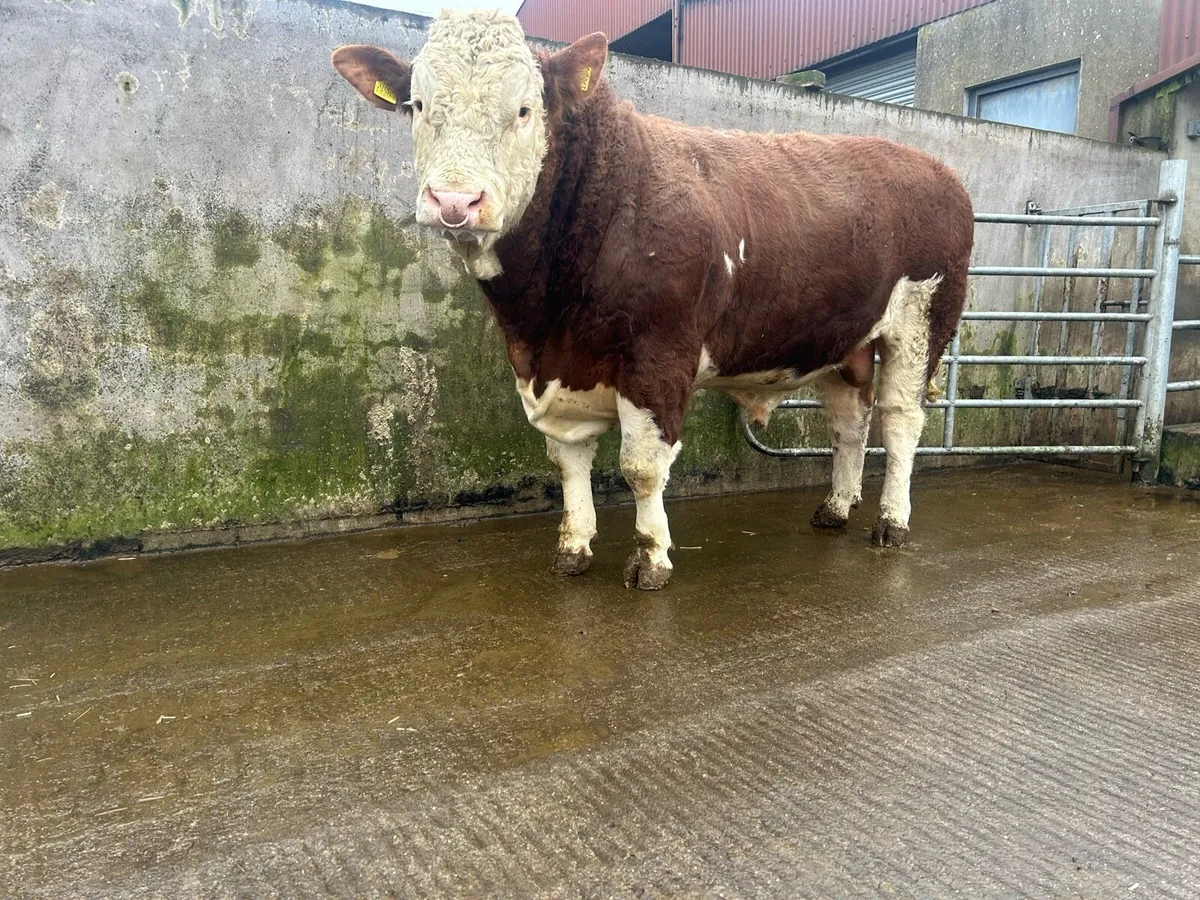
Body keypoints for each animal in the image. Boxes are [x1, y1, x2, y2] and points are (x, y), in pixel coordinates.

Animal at [331, 10, 974, 590]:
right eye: (418, 105)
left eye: (523, 109)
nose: (454, 201)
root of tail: (936, 166)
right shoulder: (550, 367)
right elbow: (569, 459)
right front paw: (573, 548)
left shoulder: (658, 356)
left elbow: (640, 468)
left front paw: (651, 557)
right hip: (846, 341)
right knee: (849, 423)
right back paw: (837, 507)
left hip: (923, 321)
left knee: (900, 420)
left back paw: (891, 522)